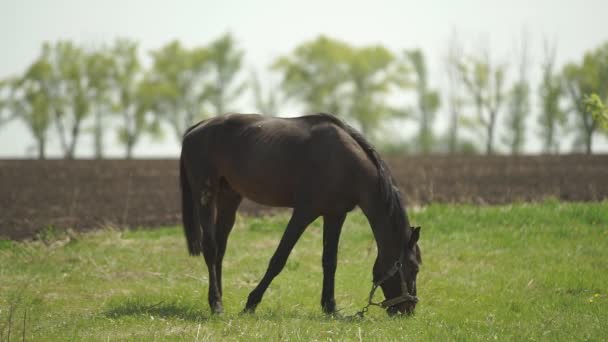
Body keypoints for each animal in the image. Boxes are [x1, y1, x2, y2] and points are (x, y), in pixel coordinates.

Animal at [178, 112, 420, 316]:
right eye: (414, 267)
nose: (408, 310)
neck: (345, 162)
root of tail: (196, 129)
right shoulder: (304, 213)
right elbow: (279, 259)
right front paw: (251, 303)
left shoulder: (335, 215)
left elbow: (330, 261)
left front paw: (330, 308)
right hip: (206, 195)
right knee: (211, 249)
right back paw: (216, 304)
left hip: (229, 197)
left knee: (220, 249)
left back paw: (219, 299)